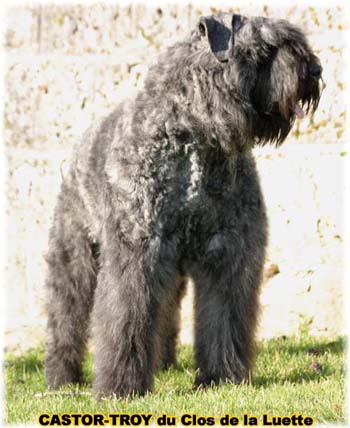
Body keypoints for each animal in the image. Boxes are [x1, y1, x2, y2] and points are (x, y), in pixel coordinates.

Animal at [45, 11, 322, 398]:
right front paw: (121, 387)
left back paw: (163, 363)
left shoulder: (228, 252)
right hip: (75, 257)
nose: (314, 70)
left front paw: (221, 377)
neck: (195, 138)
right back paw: (61, 377)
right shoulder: (137, 254)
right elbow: (125, 317)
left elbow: (223, 315)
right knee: (65, 317)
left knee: (165, 312)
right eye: (265, 50)